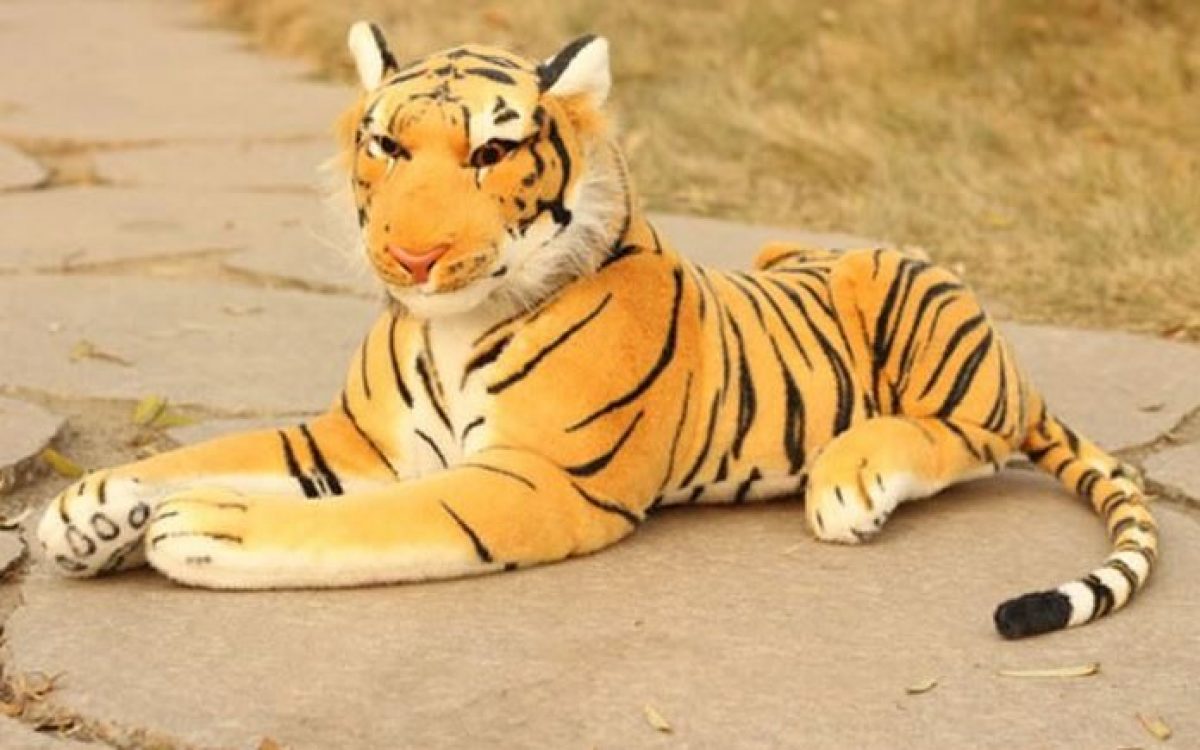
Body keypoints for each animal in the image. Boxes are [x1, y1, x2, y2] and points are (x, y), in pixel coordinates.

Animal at [35, 22, 1159, 639]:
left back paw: (854, 478)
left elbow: (350, 522)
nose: (411, 257)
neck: (446, 326)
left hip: (899, 281)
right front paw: (88, 507)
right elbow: (210, 449)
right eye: (386, 146)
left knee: (972, 434)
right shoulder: (351, 439)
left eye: (490, 154)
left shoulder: (530, 482)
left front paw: (203, 525)